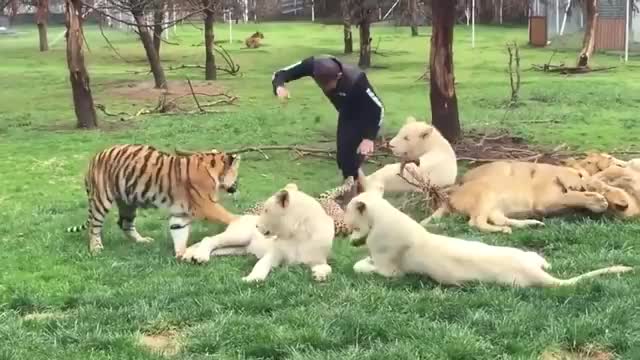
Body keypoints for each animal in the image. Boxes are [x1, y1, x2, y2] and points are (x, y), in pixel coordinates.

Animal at [65, 144, 240, 258]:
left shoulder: (180, 212)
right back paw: (96, 248)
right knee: (94, 226)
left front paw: (181, 253)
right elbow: (227, 215)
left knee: (125, 224)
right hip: (102, 200)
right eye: (236, 175)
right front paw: (240, 221)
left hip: (128, 202)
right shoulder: (206, 205)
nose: (236, 187)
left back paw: (142, 241)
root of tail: (94, 158)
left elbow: (178, 230)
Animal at [342, 190, 632, 288]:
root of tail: (534, 272)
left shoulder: (390, 272)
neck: (380, 217)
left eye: (350, 221)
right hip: (527, 254)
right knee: (541, 259)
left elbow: (360, 265)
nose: (348, 237)